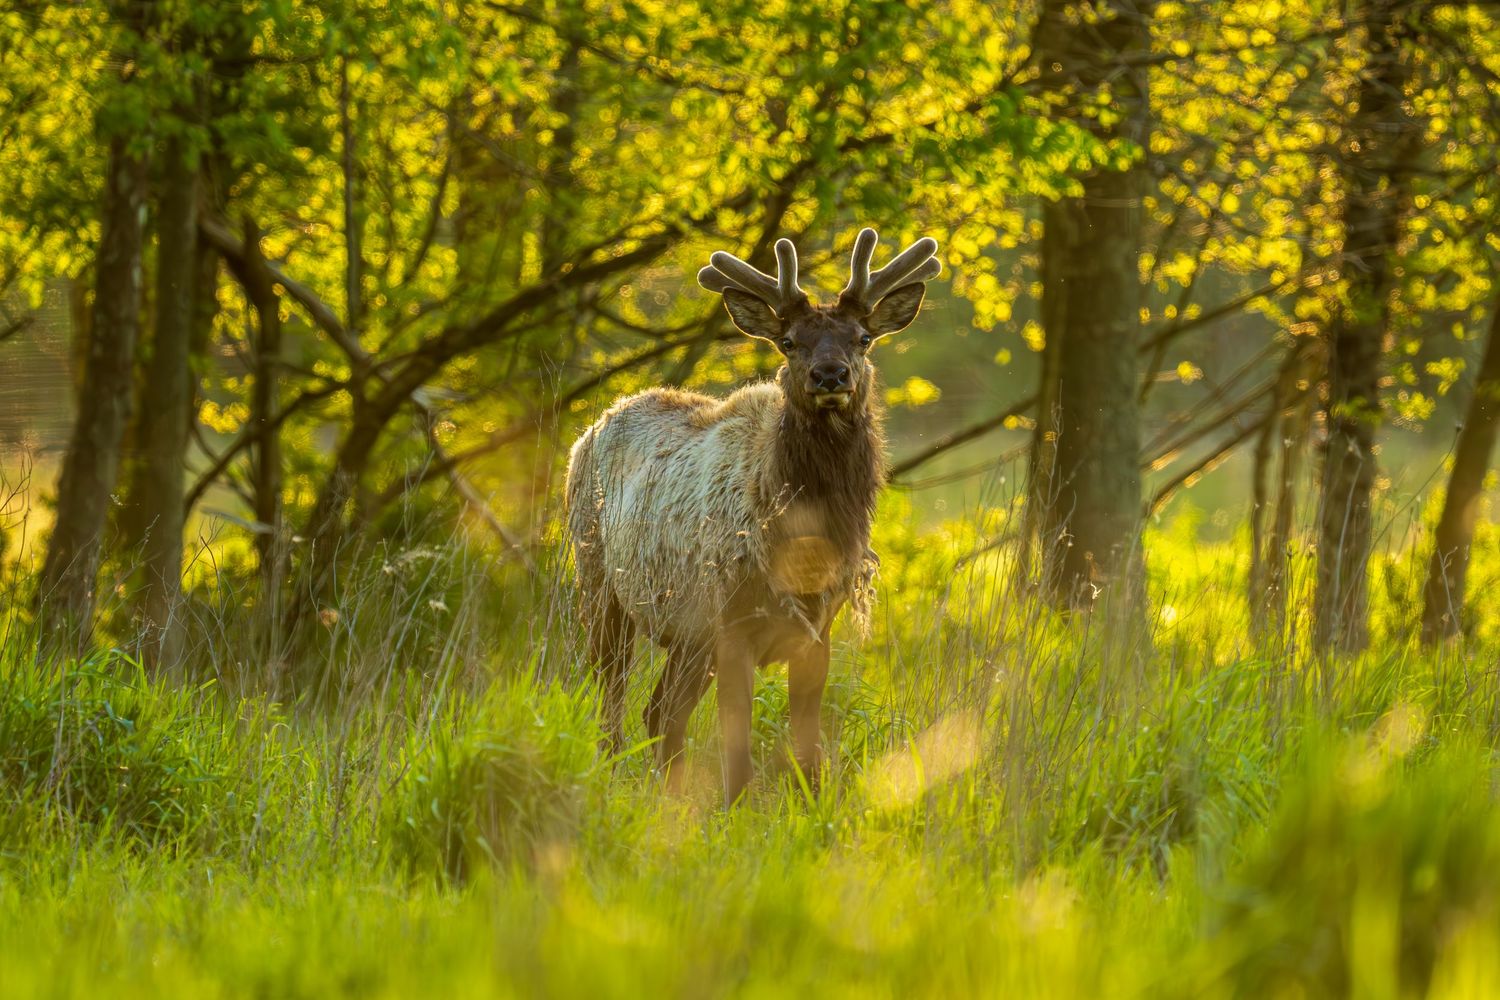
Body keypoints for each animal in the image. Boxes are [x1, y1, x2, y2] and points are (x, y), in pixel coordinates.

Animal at [565, 228, 941, 805]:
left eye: (862, 338)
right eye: (788, 341)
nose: (829, 375)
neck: (803, 543)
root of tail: (590, 430)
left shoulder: (817, 629)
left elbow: (807, 744)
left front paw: (809, 807)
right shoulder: (732, 622)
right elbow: (736, 743)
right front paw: (734, 810)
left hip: (688, 635)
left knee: (661, 711)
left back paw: (669, 797)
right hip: (602, 587)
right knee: (612, 702)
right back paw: (615, 779)